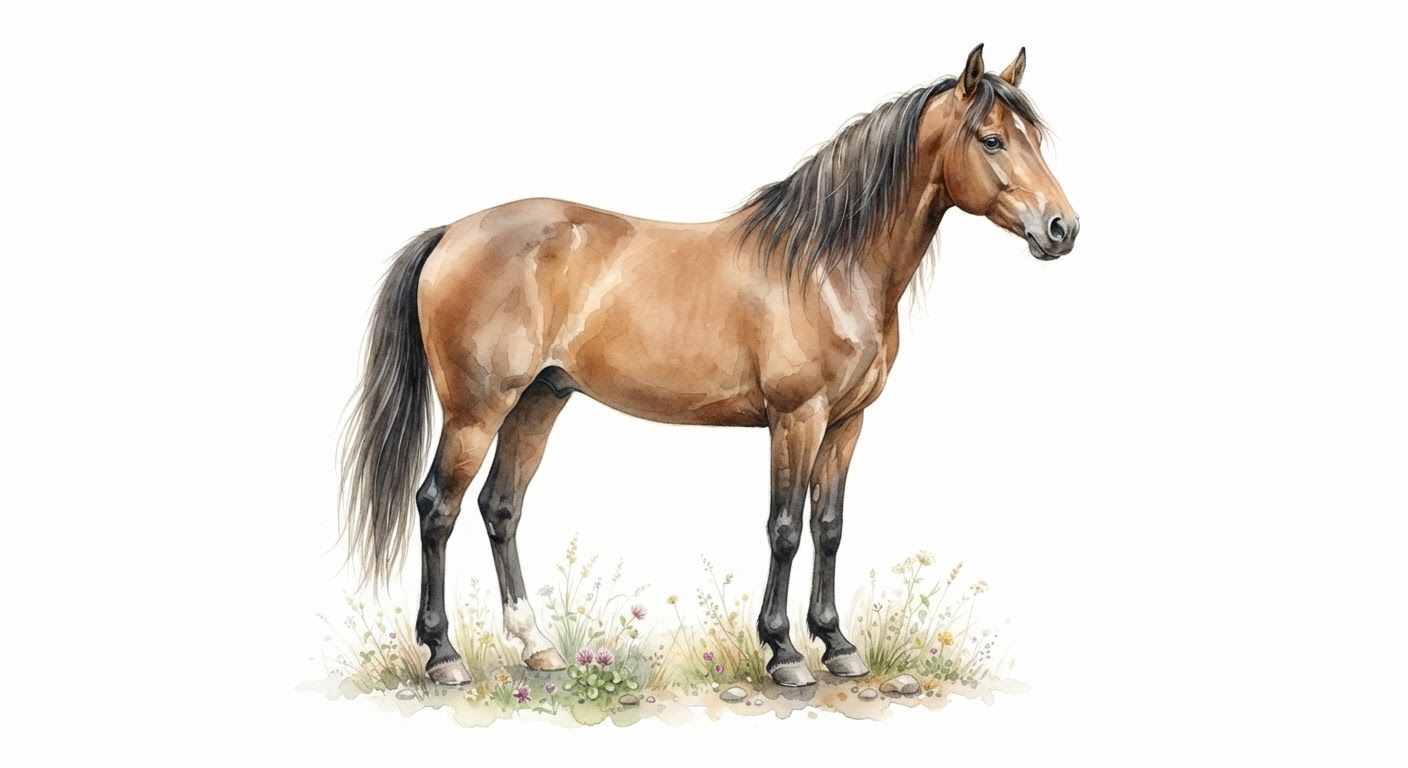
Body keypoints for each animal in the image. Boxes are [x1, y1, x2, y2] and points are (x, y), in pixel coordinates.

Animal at [341, 44, 1079, 688]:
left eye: (1035, 138)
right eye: (992, 139)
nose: (1062, 229)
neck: (827, 267)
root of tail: (452, 232)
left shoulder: (846, 424)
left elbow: (830, 529)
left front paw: (838, 645)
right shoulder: (797, 419)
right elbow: (785, 530)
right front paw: (785, 653)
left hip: (538, 402)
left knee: (500, 508)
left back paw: (537, 646)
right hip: (476, 411)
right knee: (438, 508)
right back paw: (443, 655)